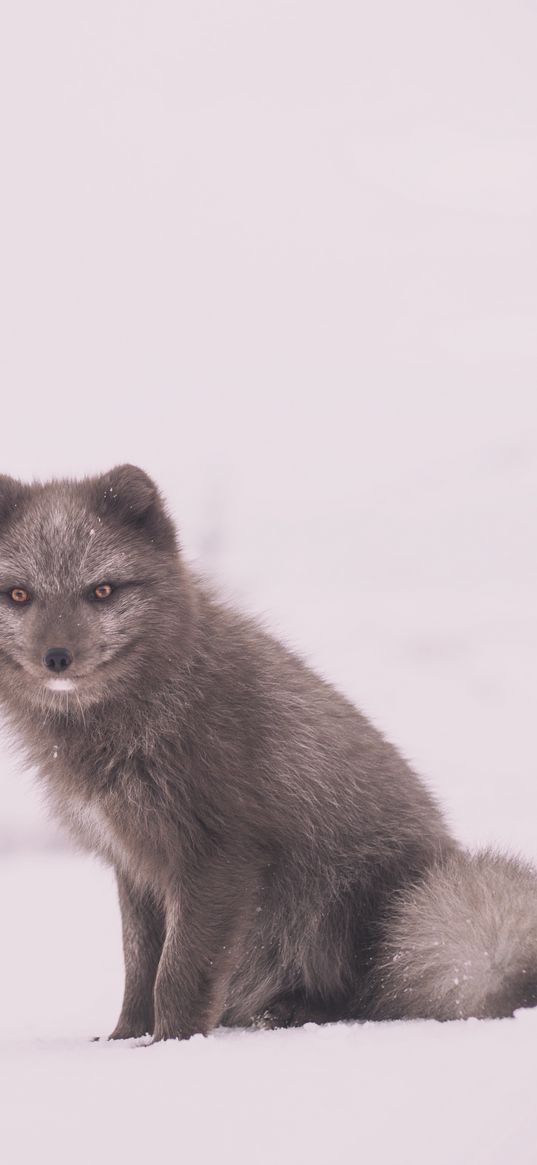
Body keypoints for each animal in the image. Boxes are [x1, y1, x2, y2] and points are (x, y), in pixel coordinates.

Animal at [1, 463, 535, 1039]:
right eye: (19, 595)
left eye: (101, 590)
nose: (57, 657)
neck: (152, 709)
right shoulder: (135, 862)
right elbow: (139, 966)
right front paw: (126, 1038)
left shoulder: (220, 854)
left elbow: (178, 971)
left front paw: (173, 1042)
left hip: (345, 898)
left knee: (372, 994)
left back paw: (296, 1011)